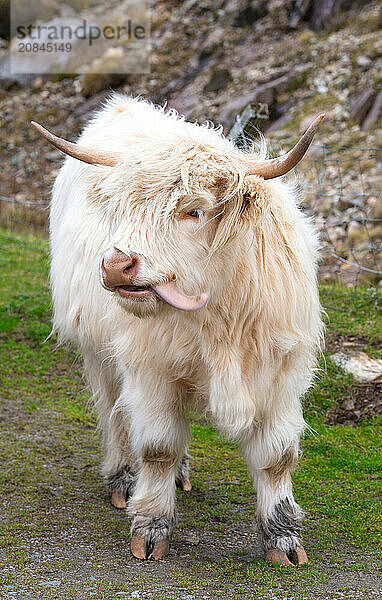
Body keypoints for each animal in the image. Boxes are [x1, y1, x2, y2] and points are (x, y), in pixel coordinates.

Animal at [33, 95, 326, 568]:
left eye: (194, 210)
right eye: (122, 208)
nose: (116, 265)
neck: (223, 319)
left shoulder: (282, 375)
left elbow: (277, 456)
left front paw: (283, 539)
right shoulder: (151, 370)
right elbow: (157, 447)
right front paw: (151, 529)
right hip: (99, 354)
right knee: (116, 415)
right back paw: (122, 478)